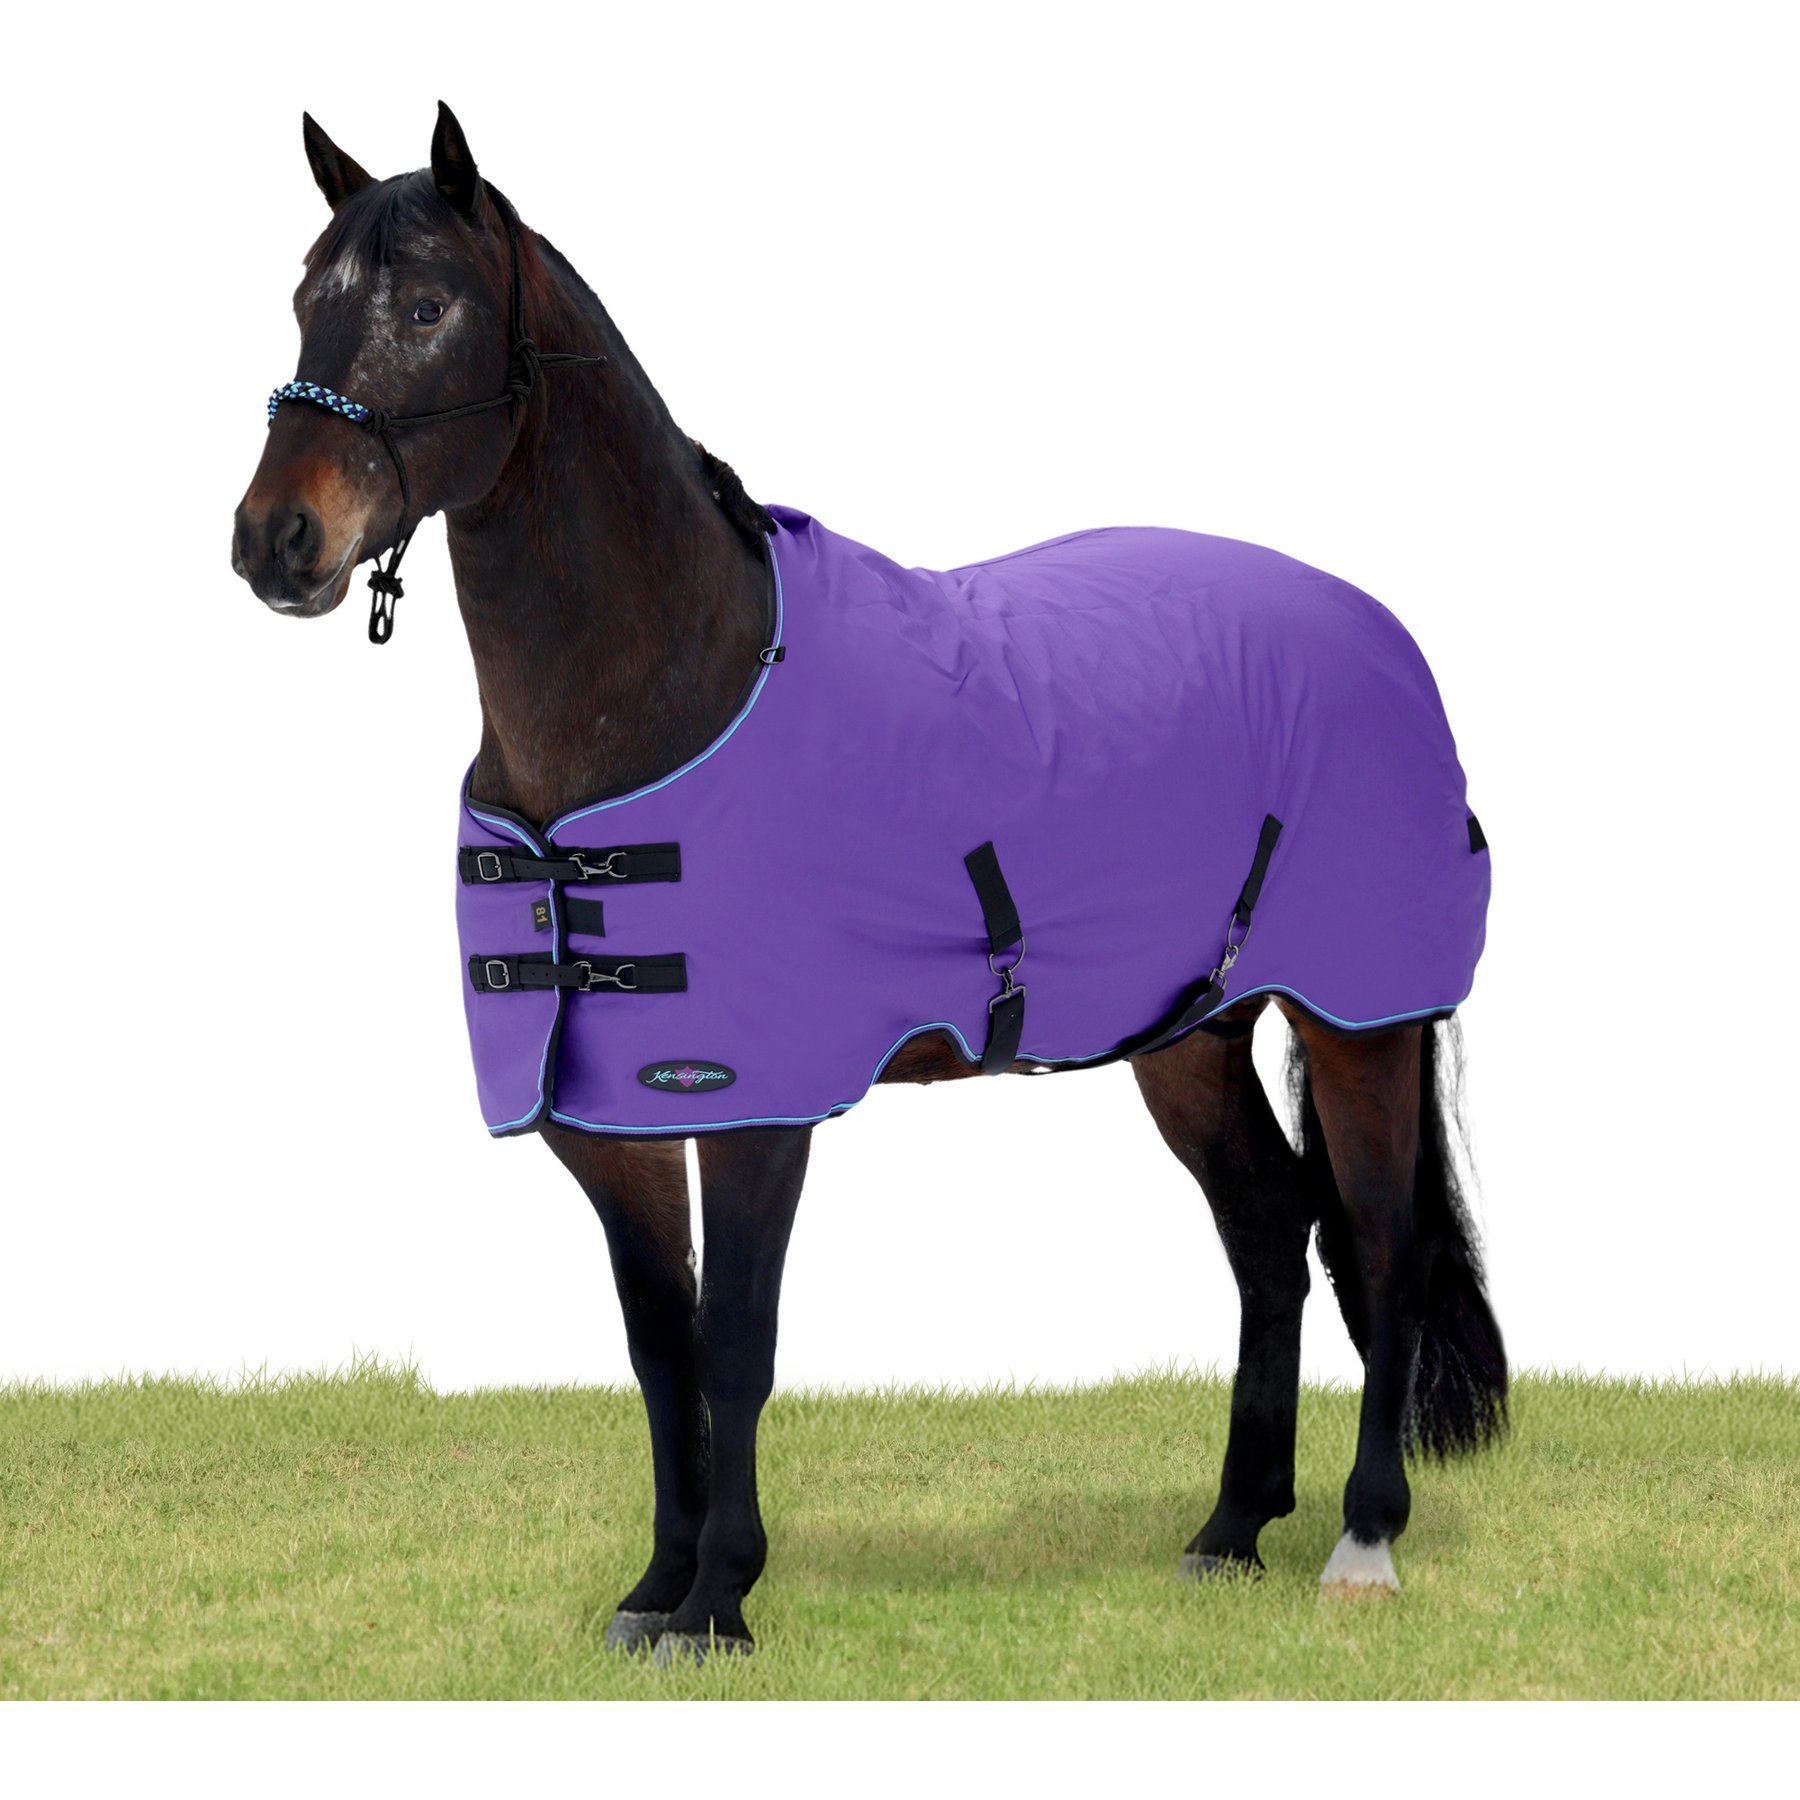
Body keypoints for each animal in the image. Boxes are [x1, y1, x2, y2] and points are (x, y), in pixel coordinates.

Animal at [230, 104, 1506, 1664]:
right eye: (306, 294)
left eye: (427, 309)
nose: (275, 540)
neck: (673, 689)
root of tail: (1379, 632)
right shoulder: (608, 1120)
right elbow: (658, 1348)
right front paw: (654, 1588)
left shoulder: (757, 1104)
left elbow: (735, 1344)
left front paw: (719, 1600)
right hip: (1190, 1036)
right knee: (1269, 1233)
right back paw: (1227, 1530)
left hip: (1357, 1020)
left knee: (1378, 1248)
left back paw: (1363, 1538)